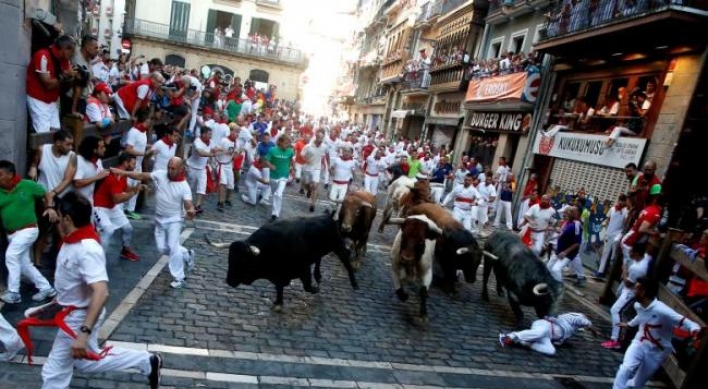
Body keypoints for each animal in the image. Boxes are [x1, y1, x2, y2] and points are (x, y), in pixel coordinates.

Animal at [224, 212, 360, 310]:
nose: (229, 281)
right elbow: (279, 287)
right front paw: (278, 302)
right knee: (318, 259)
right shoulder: (279, 275)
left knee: (347, 263)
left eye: (242, 261)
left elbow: (307, 286)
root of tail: (328, 217)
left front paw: (316, 289)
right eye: (229, 259)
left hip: (338, 247)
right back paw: (318, 276)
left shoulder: (304, 268)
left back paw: (355, 284)